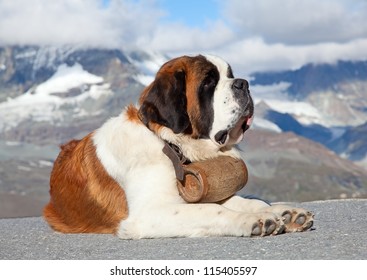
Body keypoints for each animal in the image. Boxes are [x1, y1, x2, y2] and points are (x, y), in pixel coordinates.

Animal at [43, 54, 314, 238]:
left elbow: (241, 200)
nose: (243, 83)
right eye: (208, 83)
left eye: (230, 75)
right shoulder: (148, 214)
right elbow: (209, 210)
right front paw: (253, 220)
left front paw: (277, 213)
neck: (170, 144)